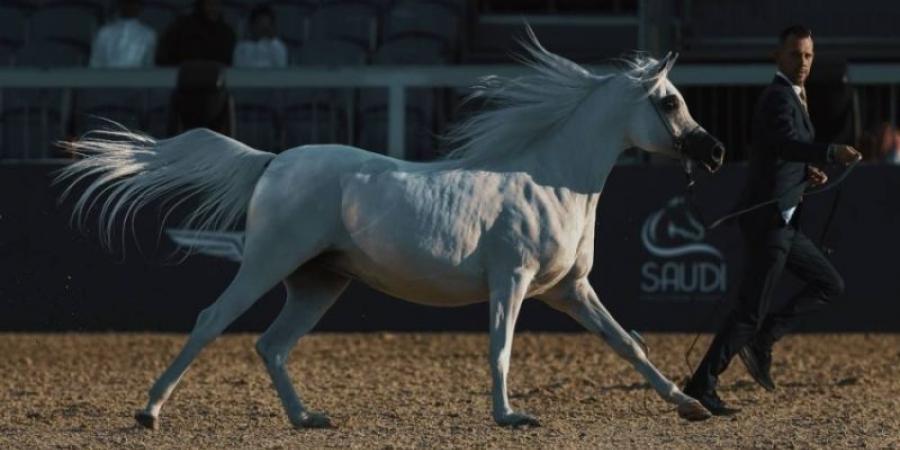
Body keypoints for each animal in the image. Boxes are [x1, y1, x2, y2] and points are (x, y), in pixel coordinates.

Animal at [56, 30, 724, 428]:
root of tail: (272, 162)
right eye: (669, 101)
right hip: (267, 263)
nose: (714, 153)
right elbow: (501, 348)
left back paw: (306, 419)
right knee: (211, 322)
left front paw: (690, 404)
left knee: (271, 344)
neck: (552, 180)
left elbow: (629, 344)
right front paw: (510, 417)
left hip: (319, 283)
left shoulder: (569, 290)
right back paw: (149, 412)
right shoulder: (511, 281)